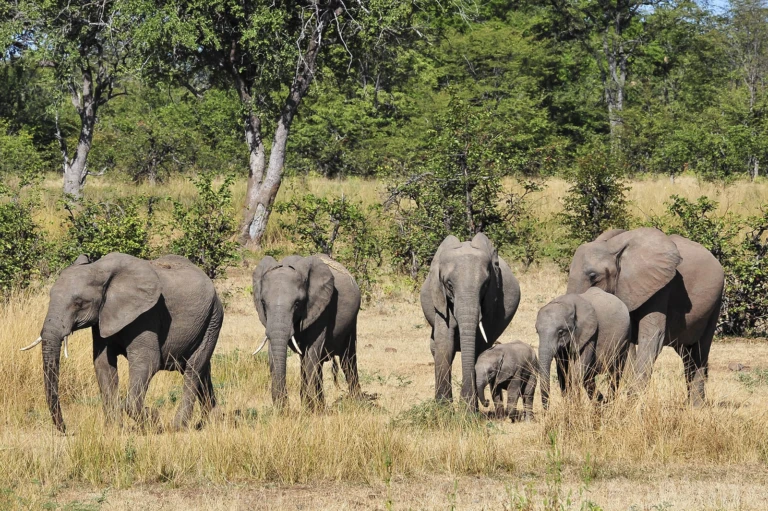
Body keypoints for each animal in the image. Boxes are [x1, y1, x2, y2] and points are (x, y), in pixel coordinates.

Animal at [21, 253, 223, 433]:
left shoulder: (147, 314)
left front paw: (154, 420)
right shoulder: (103, 316)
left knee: (193, 369)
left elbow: (147, 362)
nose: (66, 429)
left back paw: (179, 427)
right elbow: (103, 363)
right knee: (203, 370)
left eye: (79, 303)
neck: (99, 269)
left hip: (213, 319)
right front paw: (113, 430)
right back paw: (209, 422)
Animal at [252, 254, 361, 409]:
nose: (285, 407)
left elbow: (313, 349)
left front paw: (312, 409)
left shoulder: (322, 307)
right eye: (262, 302)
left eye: (297, 303)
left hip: (352, 321)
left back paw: (355, 402)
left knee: (347, 359)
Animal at [420, 233, 521, 411]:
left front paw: (468, 411)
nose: (486, 403)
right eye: (449, 285)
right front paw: (443, 410)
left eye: (486, 285)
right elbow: (445, 343)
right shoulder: (440, 298)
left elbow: (477, 344)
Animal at [567, 228, 724, 405]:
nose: (604, 400)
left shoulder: (661, 287)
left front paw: (631, 404)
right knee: (687, 355)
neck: (614, 248)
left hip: (715, 303)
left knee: (699, 352)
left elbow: (652, 338)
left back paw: (696, 407)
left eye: (593, 276)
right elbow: (627, 344)